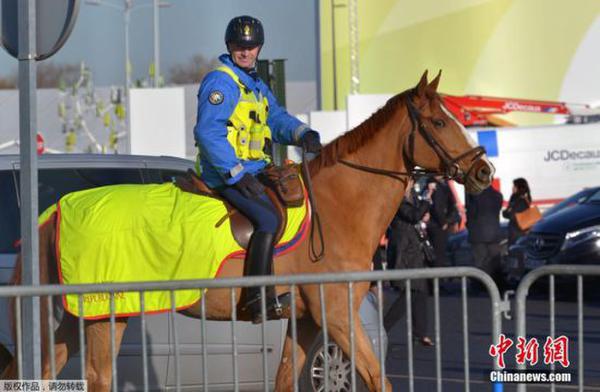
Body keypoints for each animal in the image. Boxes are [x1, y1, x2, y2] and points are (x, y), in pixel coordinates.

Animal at [2, 72, 494, 390]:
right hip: (105, 316)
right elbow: (379, 380)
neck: (337, 207)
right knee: (97, 378)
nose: (483, 172)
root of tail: (54, 212)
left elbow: (285, 381)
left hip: (67, 323)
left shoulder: (306, 322)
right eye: (439, 122)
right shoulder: (338, 317)